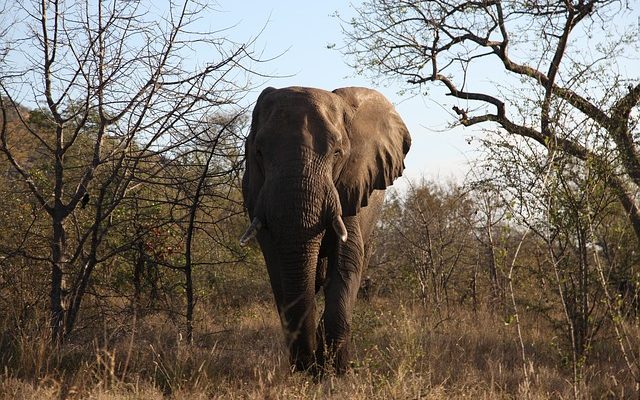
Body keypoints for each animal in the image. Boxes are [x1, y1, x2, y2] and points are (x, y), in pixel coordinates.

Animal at [240, 85, 410, 376]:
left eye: (337, 153)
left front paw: (335, 372)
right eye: (258, 152)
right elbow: (277, 265)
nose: (307, 366)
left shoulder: (350, 187)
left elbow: (346, 260)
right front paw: (308, 369)